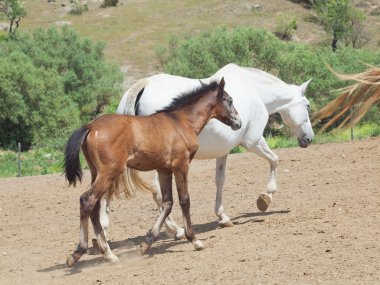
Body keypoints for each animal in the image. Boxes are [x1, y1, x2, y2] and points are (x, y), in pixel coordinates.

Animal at [62, 76, 240, 266]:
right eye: (229, 100)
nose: (238, 122)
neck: (181, 122)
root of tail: (90, 127)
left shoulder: (164, 170)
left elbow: (167, 203)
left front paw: (146, 244)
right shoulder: (181, 165)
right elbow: (184, 200)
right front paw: (194, 239)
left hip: (97, 173)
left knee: (94, 206)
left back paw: (108, 254)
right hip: (109, 173)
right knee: (87, 200)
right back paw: (80, 252)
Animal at [99, 63, 314, 239]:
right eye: (308, 106)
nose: (309, 138)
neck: (256, 91)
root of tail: (142, 85)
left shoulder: (223, 152)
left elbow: (220, 181)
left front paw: (223, 217)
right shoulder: (253, 142)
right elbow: (274, 160)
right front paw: (266, 197)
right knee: (156, 192)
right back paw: (175, 230)